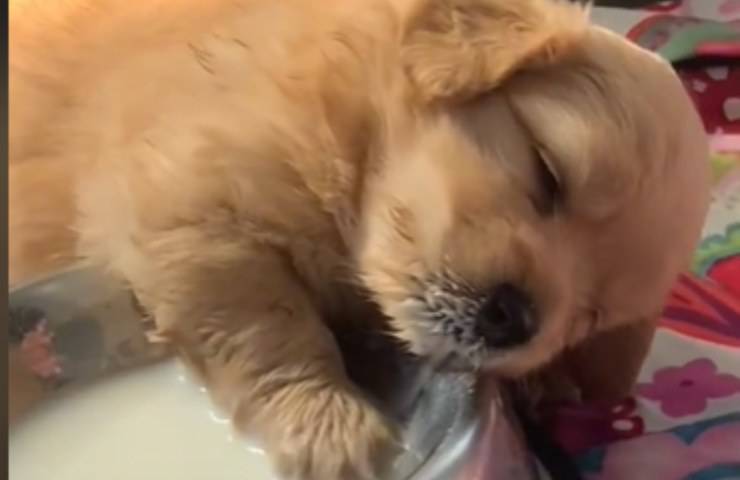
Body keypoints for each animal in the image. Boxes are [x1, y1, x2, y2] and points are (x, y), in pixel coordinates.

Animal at [9, 0, 711, 478]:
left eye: (588, 317)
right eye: (547, 170)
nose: (516, 319)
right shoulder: (185, 206)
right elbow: (263, 324)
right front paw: (328, 423)